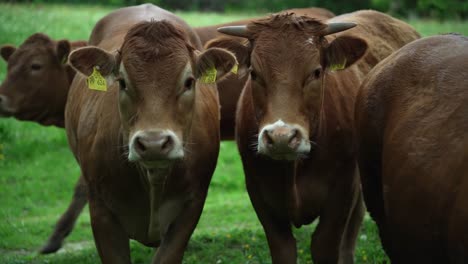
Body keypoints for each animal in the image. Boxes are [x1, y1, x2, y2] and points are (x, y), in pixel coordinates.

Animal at [219, 9, 420, 262]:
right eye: (254, 73)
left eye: (316, 72)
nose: (282, 138)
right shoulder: (259, 193)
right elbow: (283, 249)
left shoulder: (343, 189)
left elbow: (325, 245)